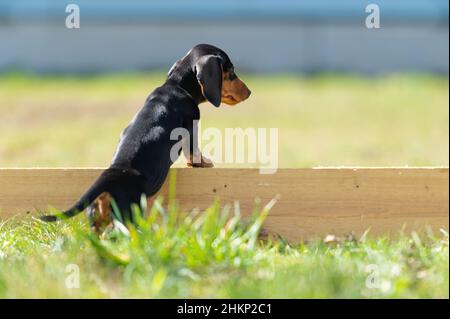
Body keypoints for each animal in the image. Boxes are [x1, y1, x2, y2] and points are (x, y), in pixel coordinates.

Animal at [40, 44, 251, 235]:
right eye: (231, 72)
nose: (249, 93)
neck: (176, 86)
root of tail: (110, 176)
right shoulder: (191, 126)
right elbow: (194, 151)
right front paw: (203, 162)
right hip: (127, 217)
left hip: (97, 220)